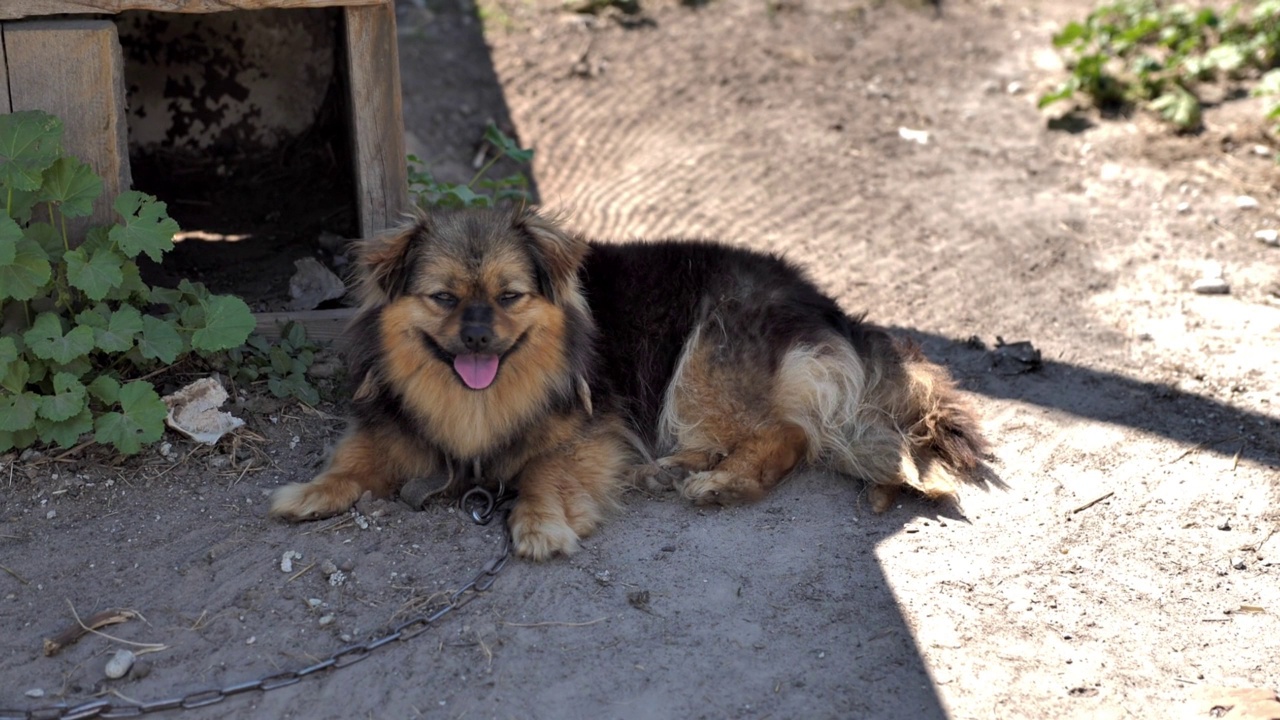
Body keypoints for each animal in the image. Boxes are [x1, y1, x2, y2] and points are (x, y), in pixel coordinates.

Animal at [270, 204, 988, 558]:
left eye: (509, 297)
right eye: (444, 298)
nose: (476, 339)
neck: (479, 400)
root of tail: (826, 305)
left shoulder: (593, 431)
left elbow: (543, 471)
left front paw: (538, 525)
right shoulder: (394, 421)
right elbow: (357, 454)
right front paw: (313, 491)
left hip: (700, 360)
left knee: (787, 434)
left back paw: (721, 483)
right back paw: (667, 470)